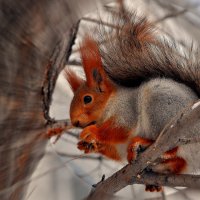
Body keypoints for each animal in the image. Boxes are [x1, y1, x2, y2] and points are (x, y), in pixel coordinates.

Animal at [65, 12, 200, 192]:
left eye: (87, 99)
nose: (74, 122)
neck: (110, 103)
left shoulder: (126, 111)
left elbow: (118, 128)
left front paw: (92, 132)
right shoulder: (118, 147)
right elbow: (115, 151)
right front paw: (88, 145)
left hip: (161, 109)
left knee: (172, 144)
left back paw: (145, 144)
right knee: (180, 163)